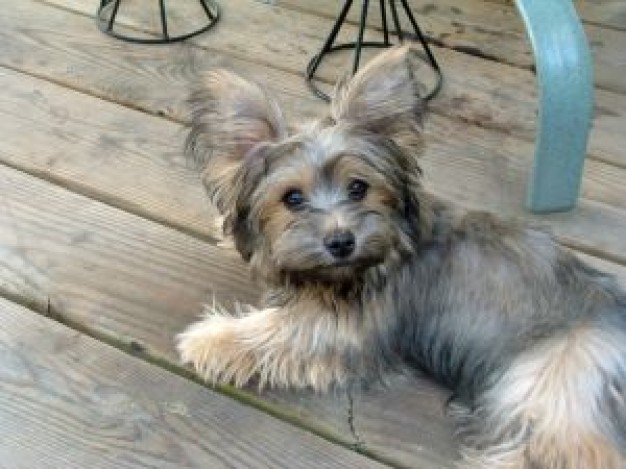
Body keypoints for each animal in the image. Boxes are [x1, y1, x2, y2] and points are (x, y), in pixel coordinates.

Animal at [176, 44, 624, 468]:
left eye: (358, 187)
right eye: (293, 198)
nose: (341, 242)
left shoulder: (341, 329)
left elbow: (273, 330)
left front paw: (210, 339)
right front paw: (222, 229)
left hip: (552, 379)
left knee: (574, 451)